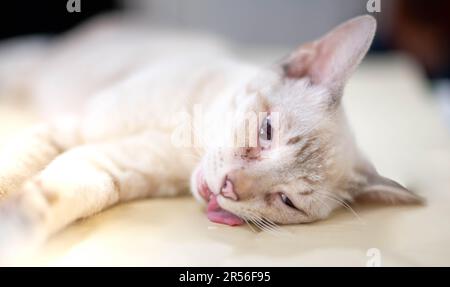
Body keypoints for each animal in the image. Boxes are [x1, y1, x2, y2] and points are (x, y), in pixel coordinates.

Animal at [0, 14, 422, 260]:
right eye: (267, 131)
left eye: (287, 201)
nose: (229, 187)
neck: (187, 141)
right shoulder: (76, 126)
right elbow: (18, 161)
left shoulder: (106, 167)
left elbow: (59, 193)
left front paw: (17, 229)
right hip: (29, 67)